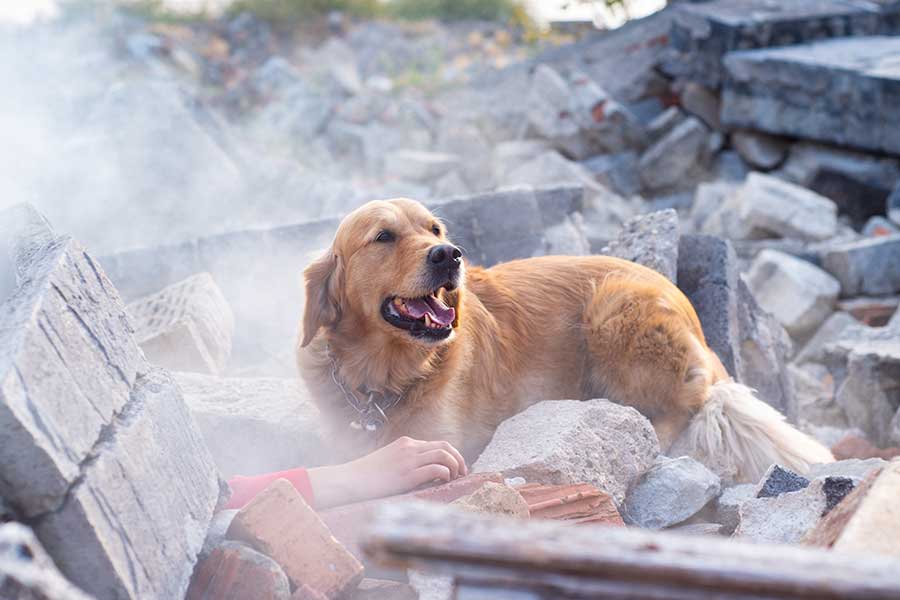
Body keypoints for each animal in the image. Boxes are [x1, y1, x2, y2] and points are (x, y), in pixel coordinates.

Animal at [298, 198, 836, 482]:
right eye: (383, 236)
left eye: (434, 229)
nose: (449, 254)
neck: (383, 377)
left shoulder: (445, 440)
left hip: (613, 310)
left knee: (682, 406)